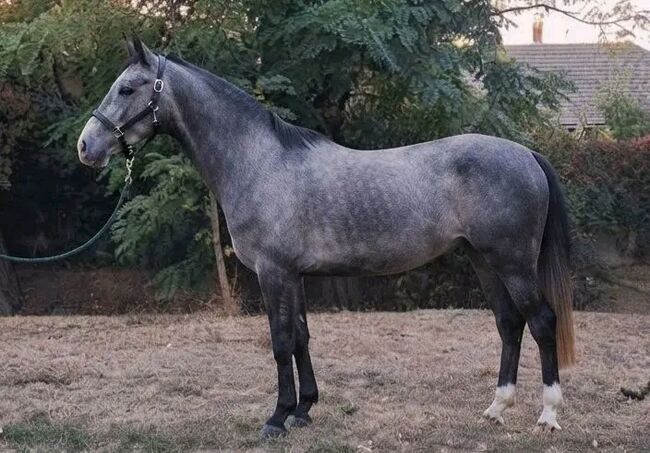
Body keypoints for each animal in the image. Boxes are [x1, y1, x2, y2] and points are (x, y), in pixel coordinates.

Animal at [77, 37, 575, 438]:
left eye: (127, 89)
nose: (86, 146)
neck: (259, 162)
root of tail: (526, 154)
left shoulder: (273, 273)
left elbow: (280, 342)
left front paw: (277, 418)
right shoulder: (294, 275)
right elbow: (301, 336)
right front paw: (303, 411)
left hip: (512, 263)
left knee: (541, 322)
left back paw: (548, 415)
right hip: (483, 260)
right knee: (509, 324)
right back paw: (496, 408)